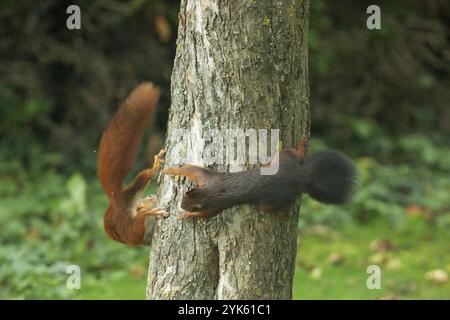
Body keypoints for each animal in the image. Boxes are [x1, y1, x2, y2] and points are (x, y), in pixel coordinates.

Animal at [97, 82, 168, 245]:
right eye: (150, 196)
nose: (152, 197)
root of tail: (118, 208)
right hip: (130, 232)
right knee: (139, 223)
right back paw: (149, 212)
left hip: (132, 191)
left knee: (144, 177)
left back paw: (155, 167)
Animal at [162, 138, 356, 220]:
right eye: (184, 197)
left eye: (189, 206)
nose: (181, 207)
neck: (209, 193)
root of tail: (300, 177)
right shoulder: (207, 182)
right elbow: (192, 170)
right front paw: (173, 169)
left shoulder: (216, 202)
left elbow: (206, 213)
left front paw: (187, 216)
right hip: (285, 159)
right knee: (294, 154)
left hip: (273, 196)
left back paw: (282, 212)